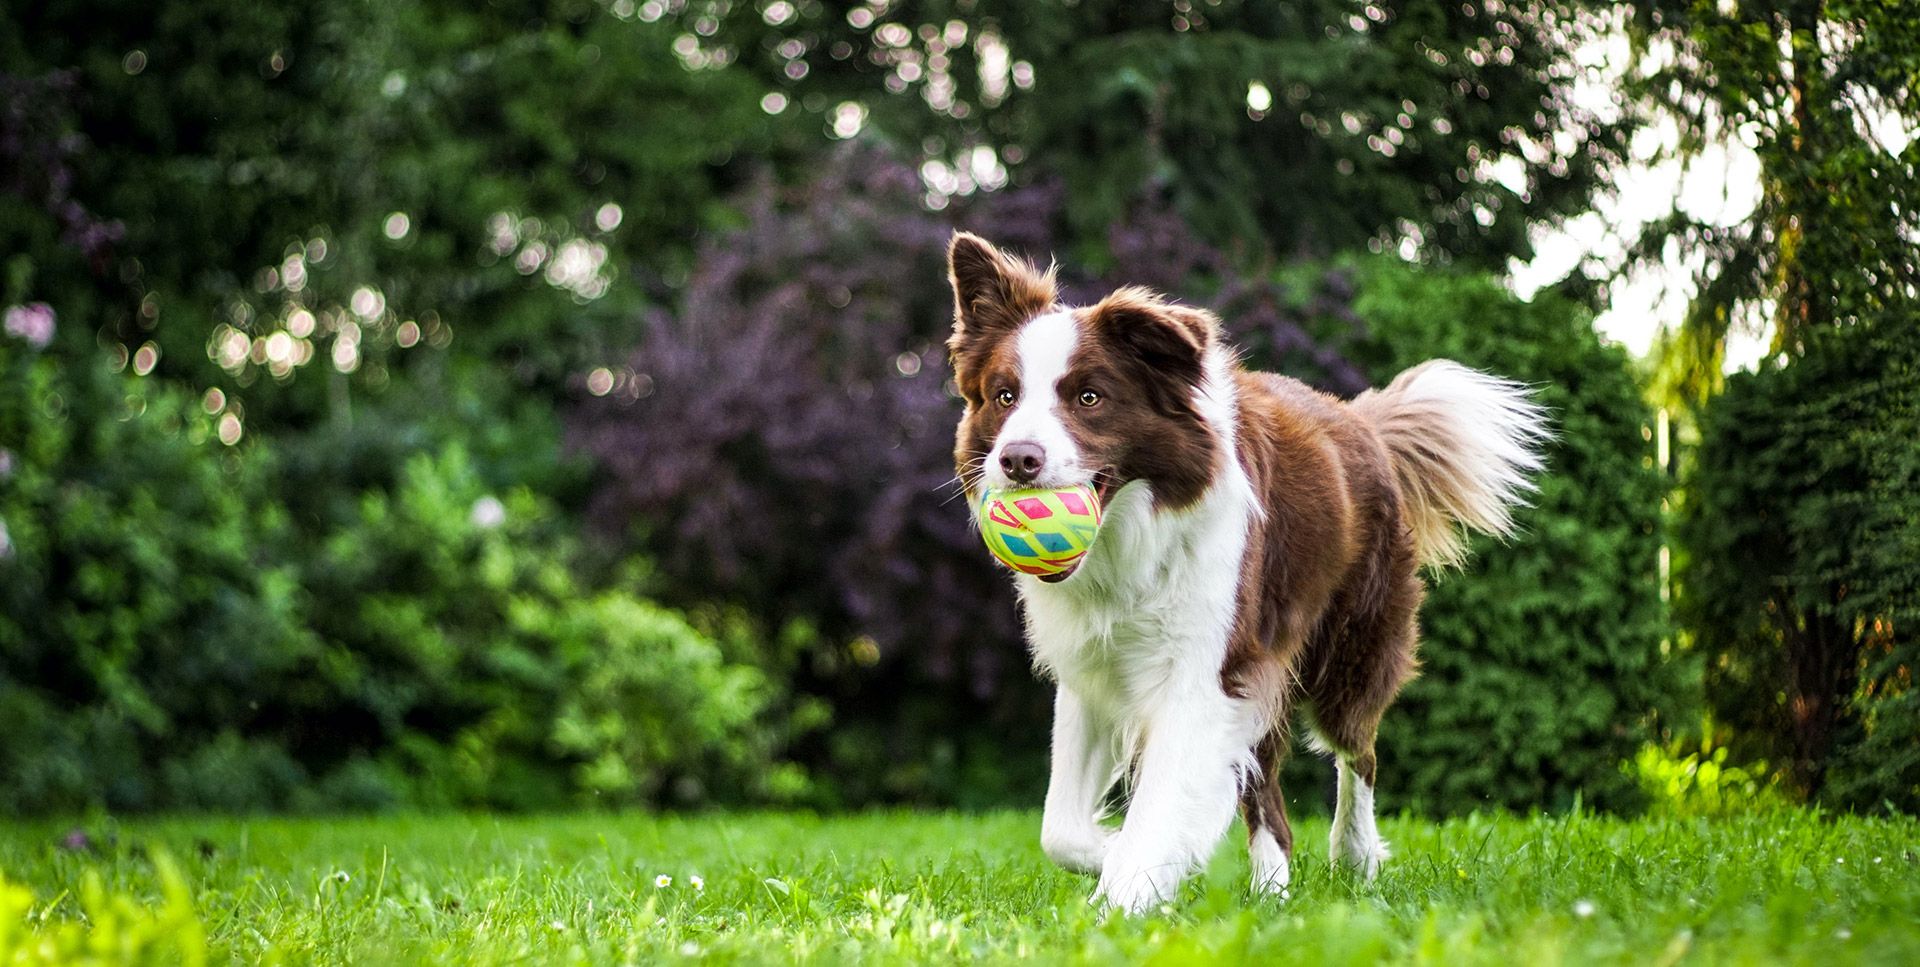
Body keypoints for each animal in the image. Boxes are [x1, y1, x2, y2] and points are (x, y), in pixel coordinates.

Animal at [952, 234, 1551, 913]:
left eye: (1089, 397)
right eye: (1004, 396)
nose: (1017, 460)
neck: (1130, 539)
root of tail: (1361, 421)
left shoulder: (1204, 669)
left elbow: (1159, 803)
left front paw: (1125, 895)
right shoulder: (1095, 670)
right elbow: (1060, 829)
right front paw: (1127, 859)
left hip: (1349, 648)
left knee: (1359, 751)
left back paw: (1355, 856)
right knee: (1268, 792)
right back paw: (1272, 891)